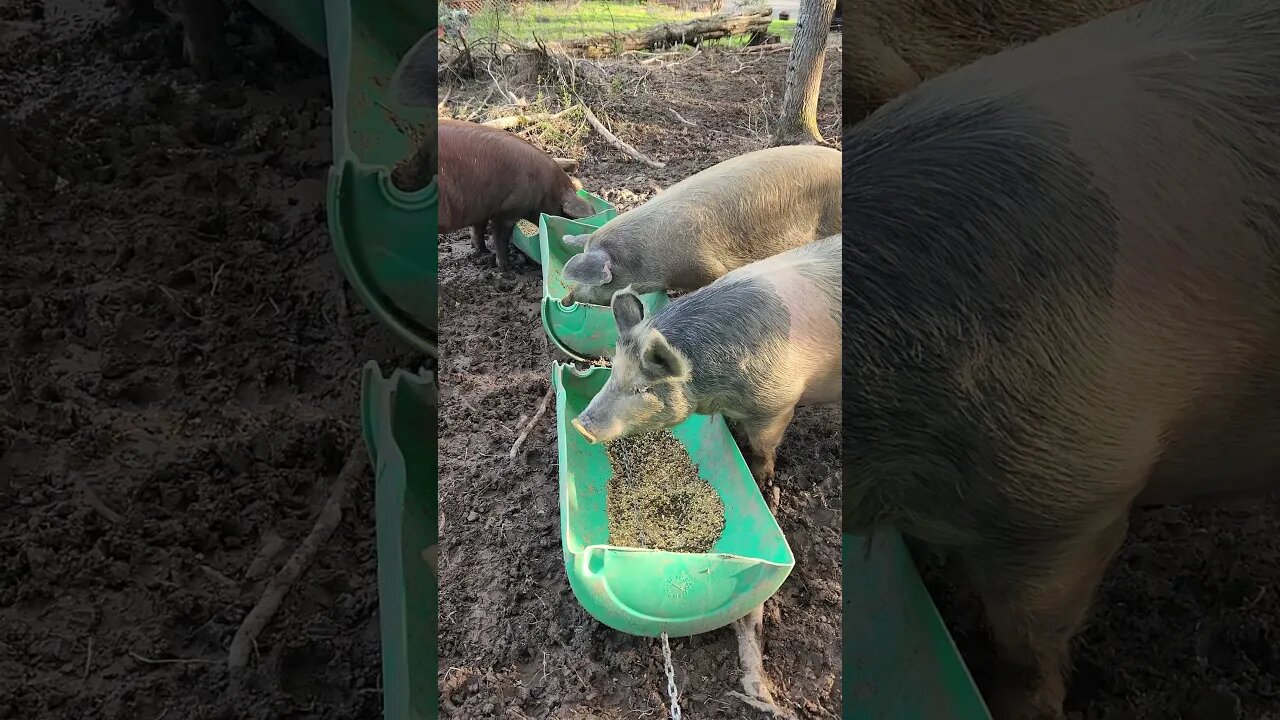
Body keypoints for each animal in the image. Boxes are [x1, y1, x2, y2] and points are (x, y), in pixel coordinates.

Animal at [437, 119, 596, 270]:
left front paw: (484, 252)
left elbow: (477, 230)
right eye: (565, 214)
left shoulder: (481, 209)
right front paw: (507, 267)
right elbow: (500, 238)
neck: (546, 189)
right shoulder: (508, 211)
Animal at [570, 233, 839, 479]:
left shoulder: (778, 404)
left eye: (643, 389)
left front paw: (761, 478)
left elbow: (763, 447)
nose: (579, 425)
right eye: (613, 371)